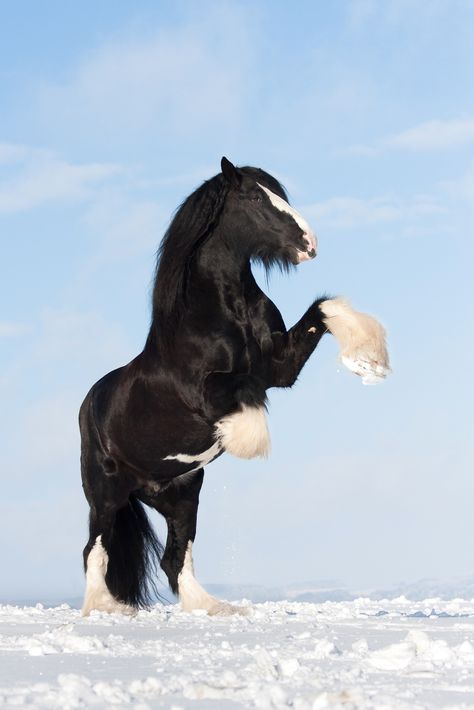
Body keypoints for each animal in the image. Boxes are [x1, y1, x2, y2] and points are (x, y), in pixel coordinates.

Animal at [78, 156, 388, 616]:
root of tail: (90, 402)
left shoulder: (281, 368)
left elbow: (324, 309)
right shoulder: (205, 393)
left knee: (175, 558)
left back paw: (213, 607)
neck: (226, 311)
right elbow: (244, 387)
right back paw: (105, 606)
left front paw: (369, 362)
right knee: (95, 548)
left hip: (182, 494)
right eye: (256, 198)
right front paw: (246, 437)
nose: (309, 243)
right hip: (105, 490)